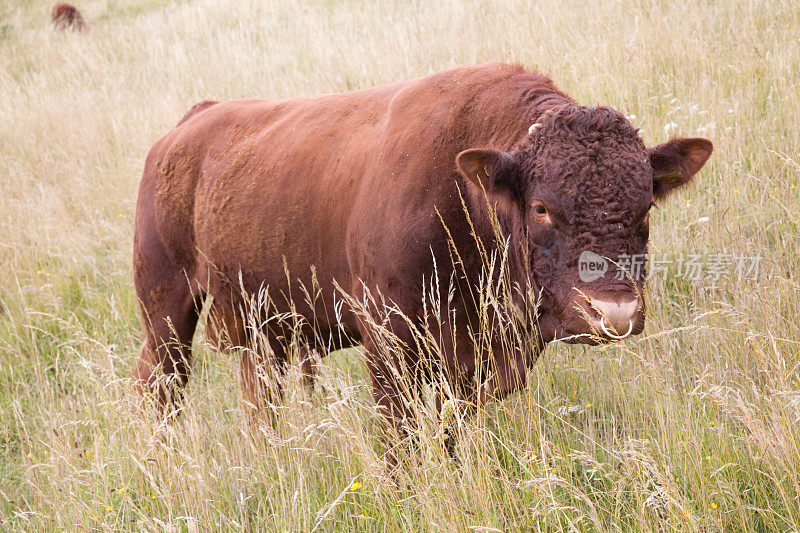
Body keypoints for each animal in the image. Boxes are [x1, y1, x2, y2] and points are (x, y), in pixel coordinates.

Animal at [133, 64, 712, 434]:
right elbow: (401, 440)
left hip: (263, 328)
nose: (613, 312)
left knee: (260, 398)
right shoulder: (389, 347)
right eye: (542, 207)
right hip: (167, 310)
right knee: (160, 385)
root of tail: (187, 126)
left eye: (646, 205)